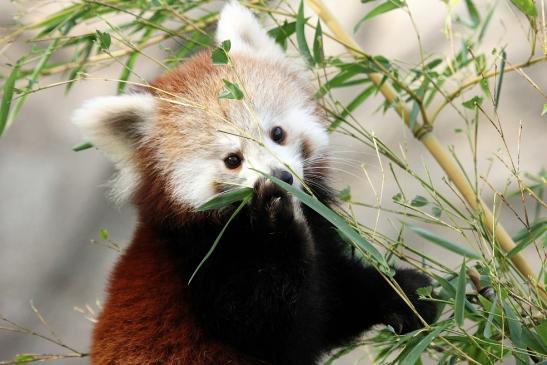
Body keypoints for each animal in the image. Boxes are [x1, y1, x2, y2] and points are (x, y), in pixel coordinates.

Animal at [75, 1, 438, 362]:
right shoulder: (207, 269)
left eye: (277, 133)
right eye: (232, 160)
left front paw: (407, 293)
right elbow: (276, 327)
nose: (281, 178)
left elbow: (333, 306)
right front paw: (278, 222)